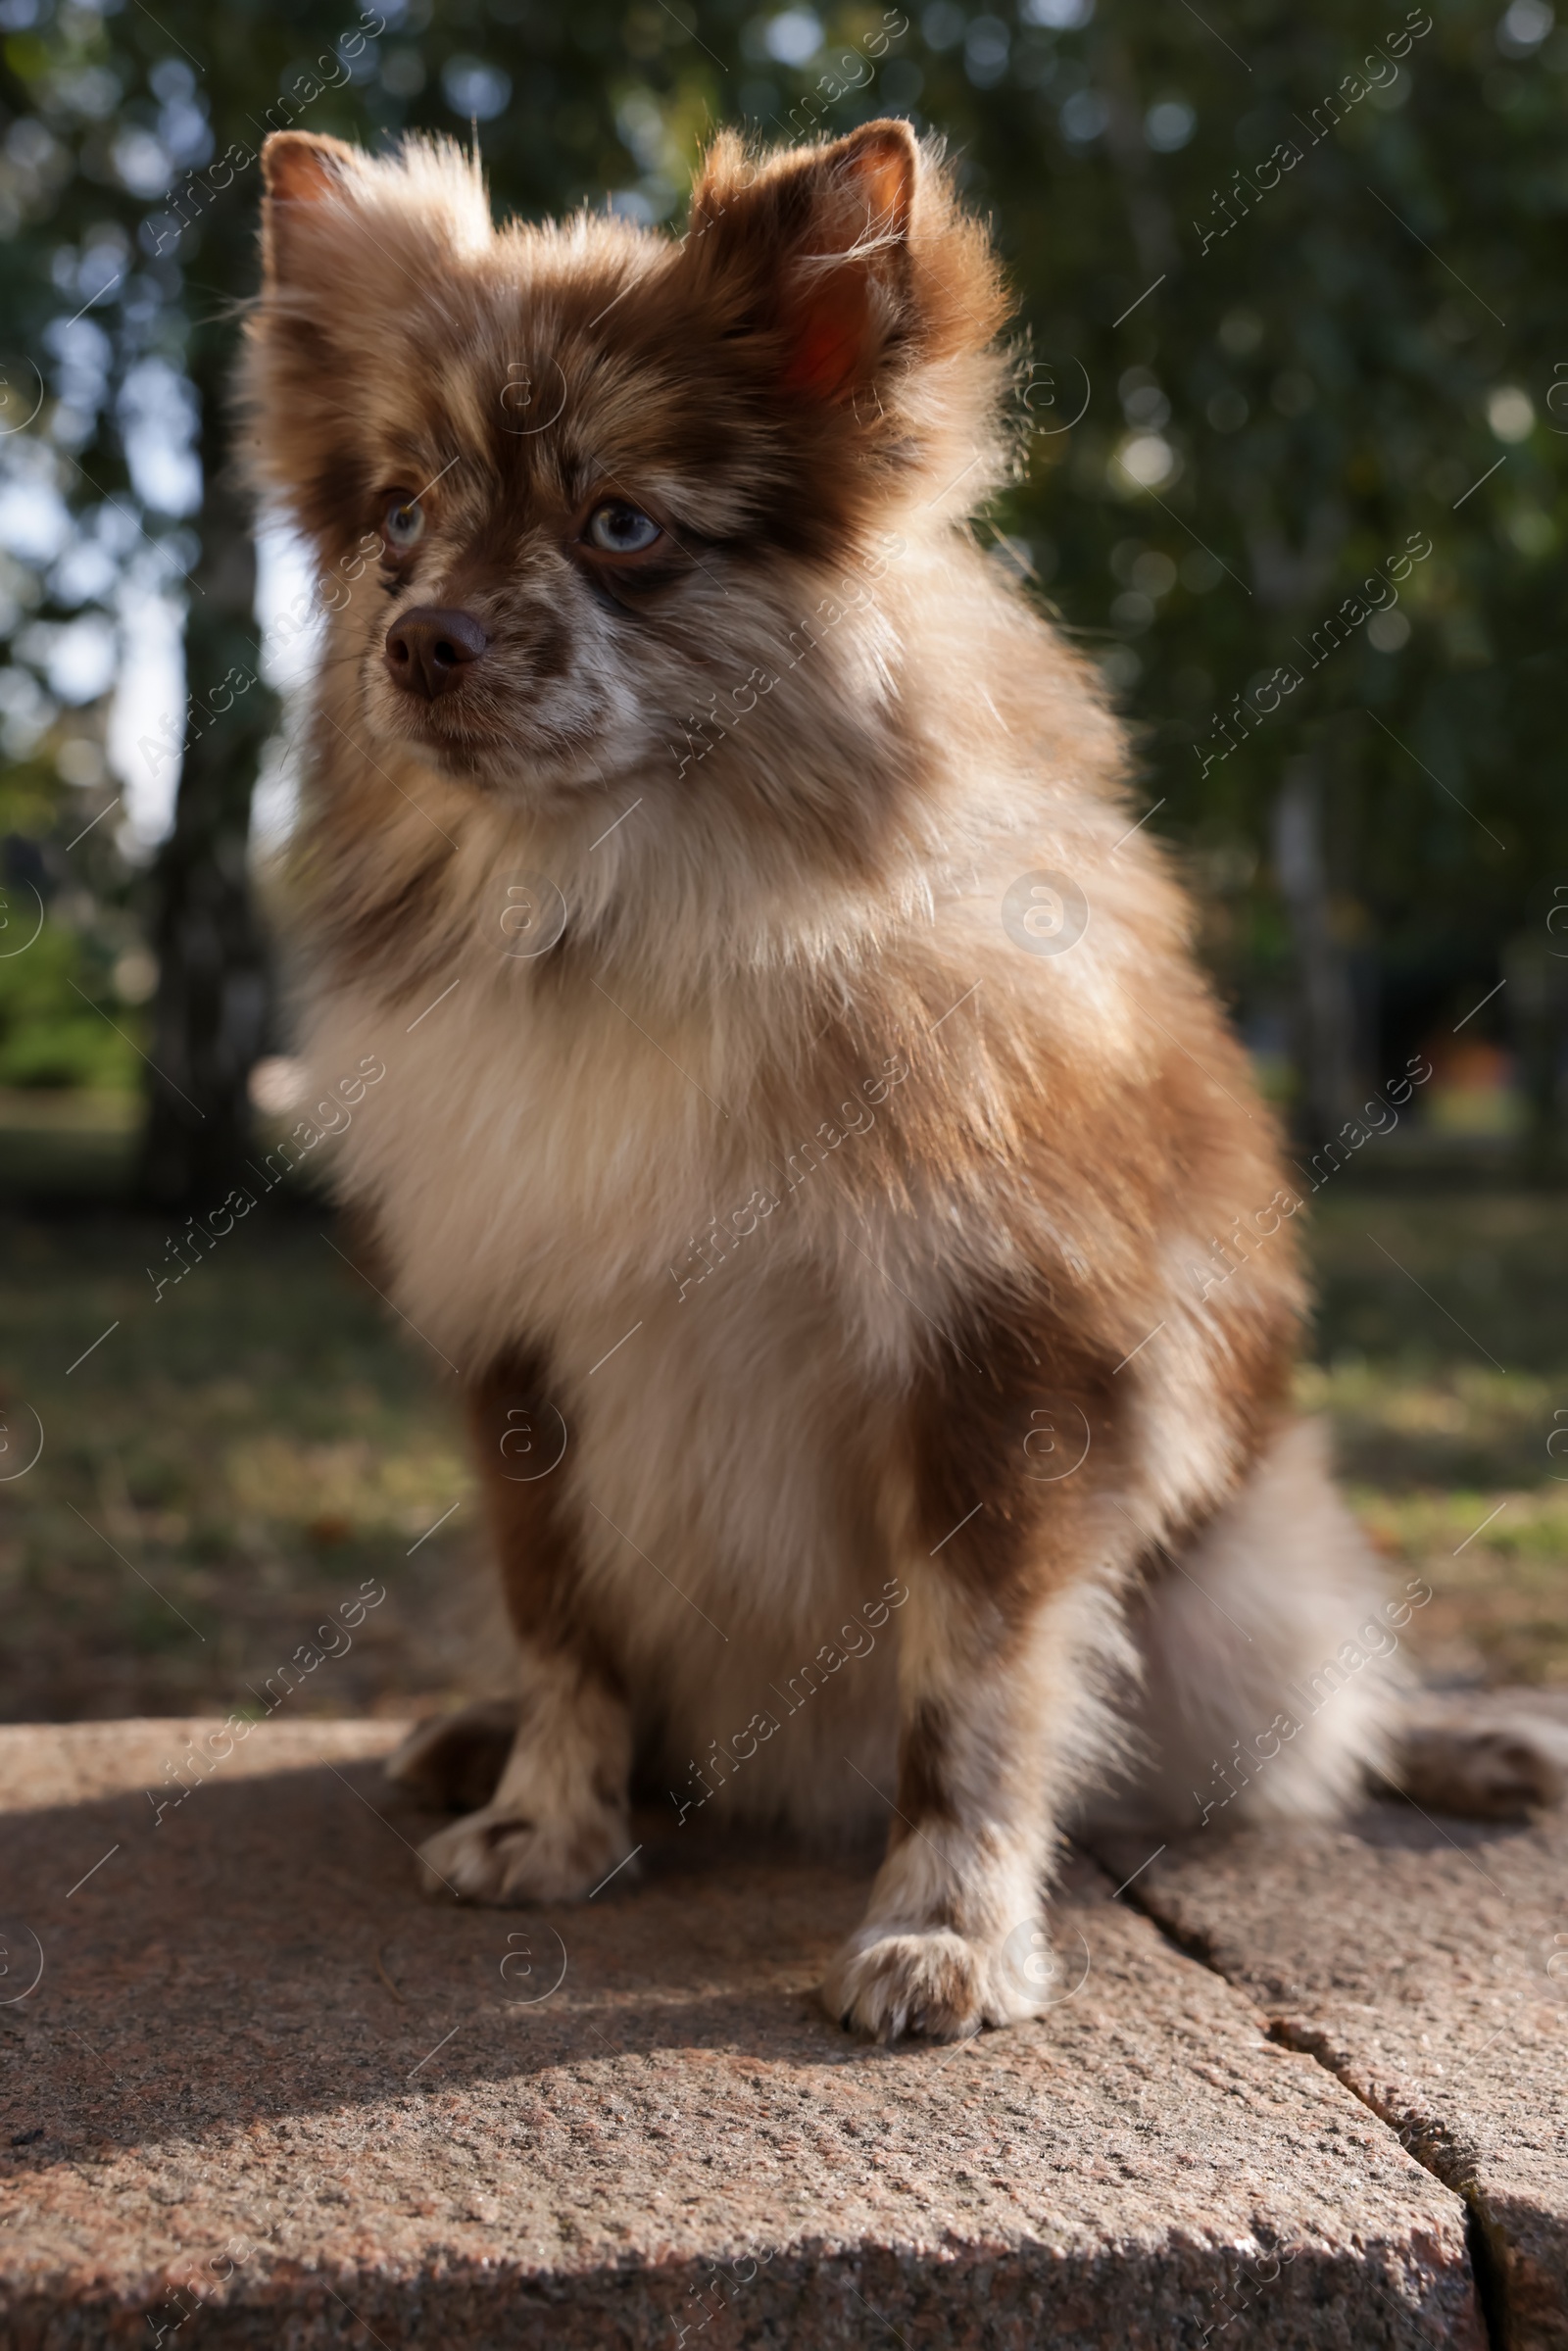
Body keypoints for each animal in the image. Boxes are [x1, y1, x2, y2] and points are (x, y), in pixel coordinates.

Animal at [245, 123, 1560, 2040]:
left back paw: (1455, 1747)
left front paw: (947, 1927)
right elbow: (565, 1623)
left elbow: (980, 1677)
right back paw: (487, 1744)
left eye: (623, 526)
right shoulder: (526, 1353)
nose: (421, 639)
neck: (645, 911)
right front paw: (551, 1814)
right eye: (401, 514)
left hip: (1252, 1580)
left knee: (1317, 1728)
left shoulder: (1001, 1357)